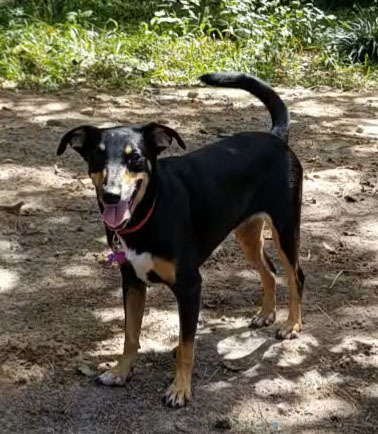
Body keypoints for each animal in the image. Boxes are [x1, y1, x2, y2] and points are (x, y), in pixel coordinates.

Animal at [56, 71, 304, 406]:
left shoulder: (189, 286)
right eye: (97, 157)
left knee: (295, 275)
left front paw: (180, 388)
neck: (150, 210)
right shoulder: (131, 281)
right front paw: (121, 371)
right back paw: (266, 314)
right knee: (269, 270)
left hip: (285, 228)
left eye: (136, 158)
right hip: (247, 233)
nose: (111, 196)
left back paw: (291, 325)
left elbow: (186, 346)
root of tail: (276, 137)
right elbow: (130, 334)